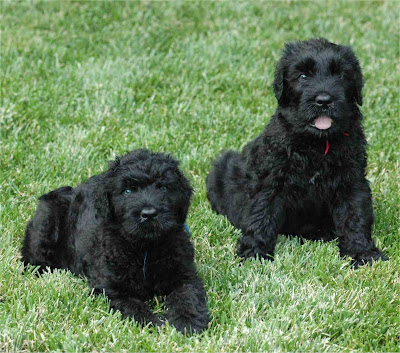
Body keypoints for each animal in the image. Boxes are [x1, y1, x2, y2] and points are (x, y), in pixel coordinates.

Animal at [21, 148, 209, 332]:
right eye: (128, 191)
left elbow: (187, 296)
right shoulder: (110, 288)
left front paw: (187, 323)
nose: (148, 214)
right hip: (47, 220)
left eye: (163, 188)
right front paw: (151, 323)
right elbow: (132, 306)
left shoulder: (185, 275)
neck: (145, 249)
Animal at [208, 37, 390, 266]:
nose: (323, 100)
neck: (317, 144)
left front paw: (362, 253)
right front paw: (253, 254)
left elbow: (354, 216)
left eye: (341, 75)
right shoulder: (269, 181)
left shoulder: (352, 181)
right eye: (303, 76)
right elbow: (261, 214)